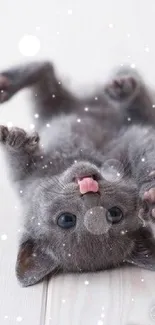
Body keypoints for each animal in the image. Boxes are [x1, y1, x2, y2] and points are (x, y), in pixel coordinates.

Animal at [0, 61, 155, 286]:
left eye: (114, 214)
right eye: (66, 220)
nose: (89, 187)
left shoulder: (130, 142)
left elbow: (146, 154)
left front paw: (151, 194)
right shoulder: (25, 181)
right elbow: (18, 163)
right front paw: (15, 141)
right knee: (47, 73)